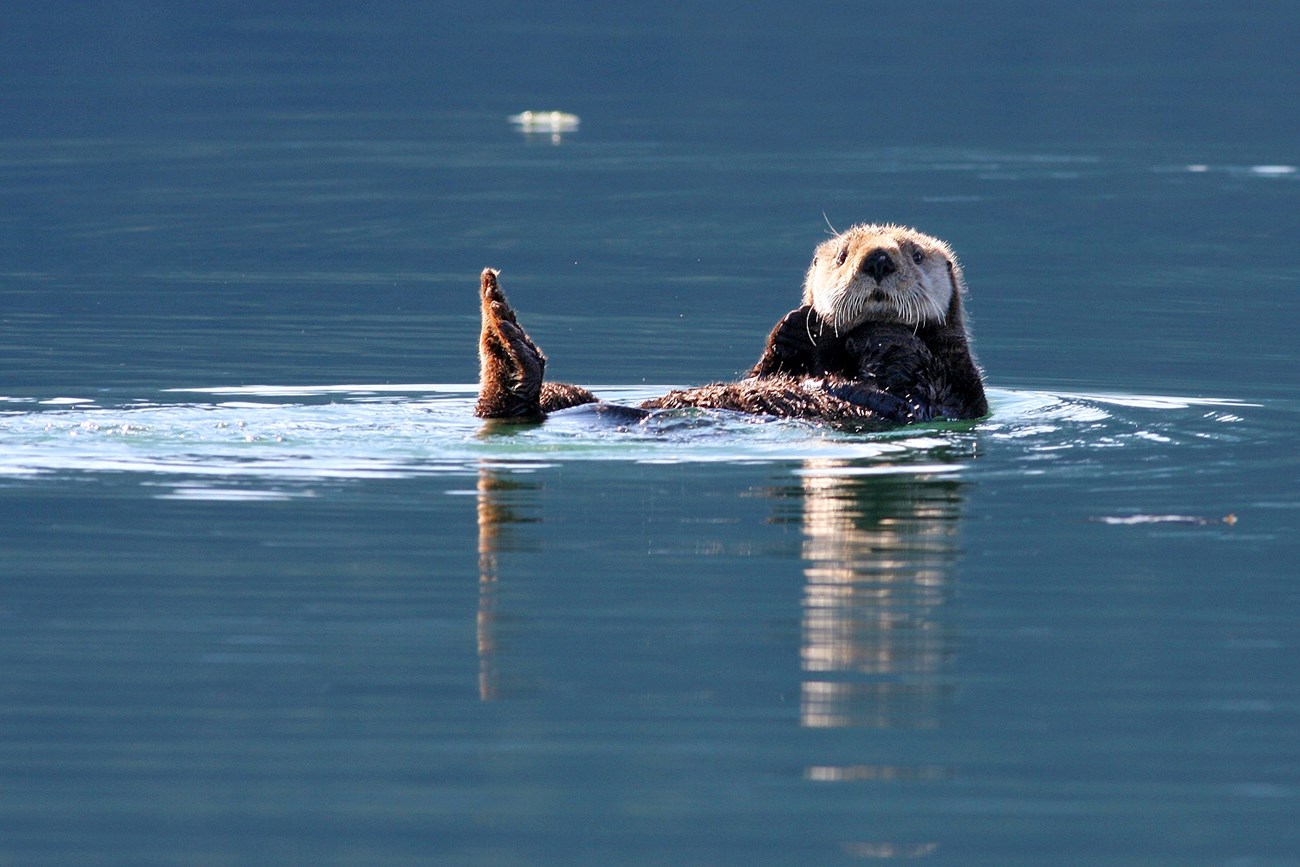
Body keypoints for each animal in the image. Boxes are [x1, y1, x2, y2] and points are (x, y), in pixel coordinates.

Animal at [475, 223, 982, 426]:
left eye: (915, 254)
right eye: (842, 256)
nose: (878, 259)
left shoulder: (952, 387)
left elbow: (911, 371)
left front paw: (879, 333)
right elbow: (769, 367)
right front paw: (798, 324)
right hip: (570, 397)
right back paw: (500, 322)